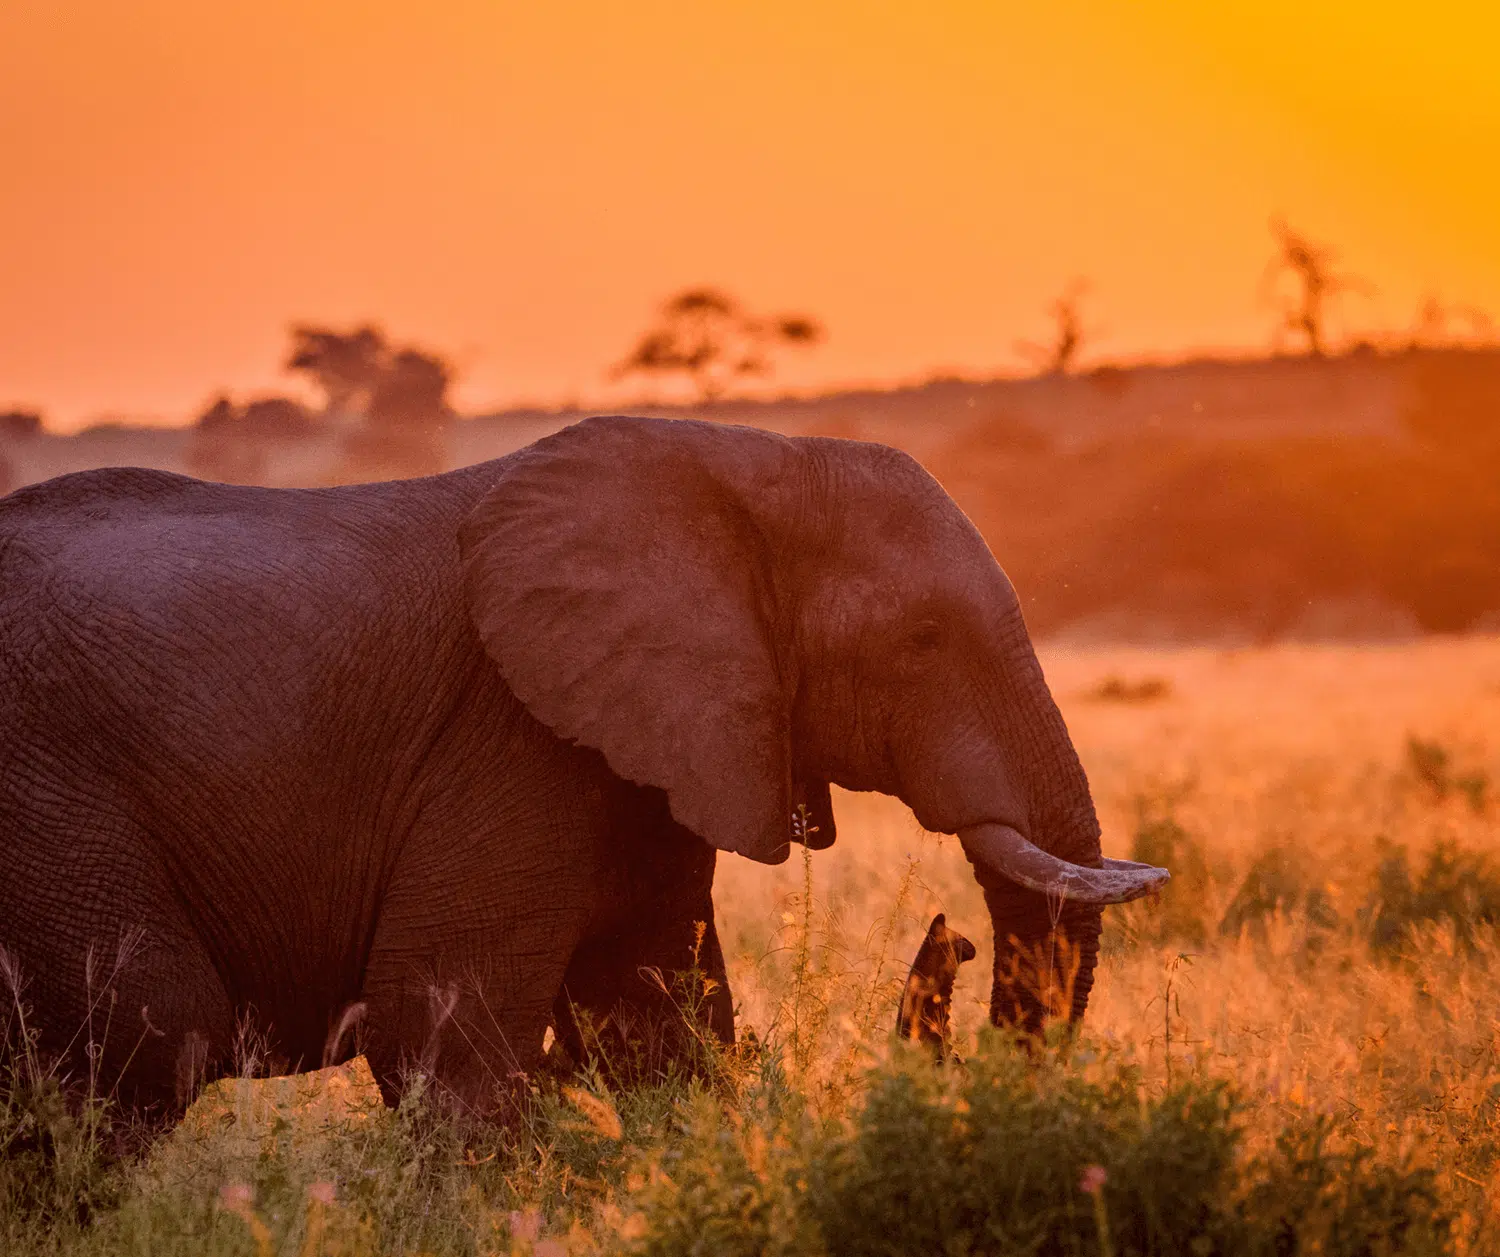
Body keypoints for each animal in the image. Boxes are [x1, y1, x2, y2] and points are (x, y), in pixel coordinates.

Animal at [0, 415, 1167, 1117]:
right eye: (922, 641)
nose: (952, 938)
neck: (749, 462)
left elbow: (655, 1018)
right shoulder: (509, 734)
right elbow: (439, 1024)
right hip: (51, 803)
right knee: (150, 1031)